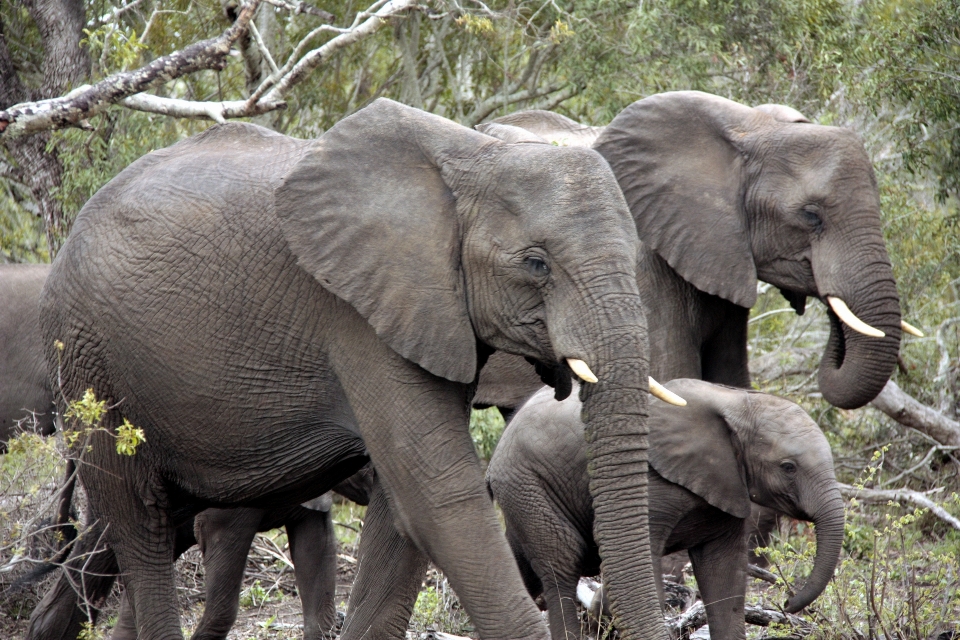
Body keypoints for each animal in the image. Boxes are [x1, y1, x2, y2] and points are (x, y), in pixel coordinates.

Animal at [35, 99, 676, 640]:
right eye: (537, 264)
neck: (473, 155)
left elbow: (400, 515)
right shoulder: (357, 315)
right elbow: (436, 497)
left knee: (137, 526)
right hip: (90, 360)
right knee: (140, 524)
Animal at [492, 380, 844, 640]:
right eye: (788, 467)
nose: (787, 602)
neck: (737, 401)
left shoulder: (728, 485)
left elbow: (725, 579)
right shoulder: (649, 484)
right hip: (528, 484)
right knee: (561, 568)